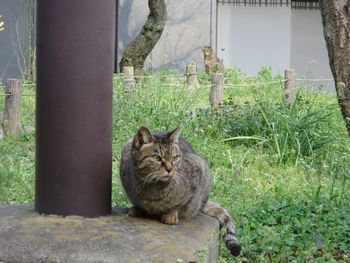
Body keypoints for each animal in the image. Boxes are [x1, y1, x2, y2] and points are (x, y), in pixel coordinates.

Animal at [119, 126, 241, 258]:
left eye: (174, 157)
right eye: (157, 158)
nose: (169, 169)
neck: (151, 187)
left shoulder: (197, 170)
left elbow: (178, 204)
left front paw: (171, 214)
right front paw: (138, 208)